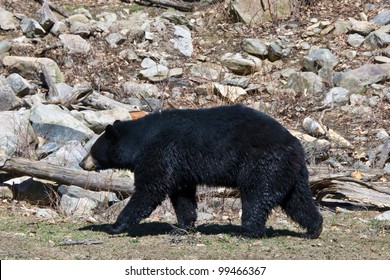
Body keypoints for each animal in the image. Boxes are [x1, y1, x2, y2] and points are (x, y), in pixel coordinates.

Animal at [79, 104, 322, 238]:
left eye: (92, 149)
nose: (81, 163)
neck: (141, 140)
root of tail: (296, 145)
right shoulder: (179, 165)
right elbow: (182, 194)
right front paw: (183, 226)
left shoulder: (160, 151)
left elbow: (150, 189)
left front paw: (115, 226)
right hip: (290, 171)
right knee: (297, 199)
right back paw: (314, 229)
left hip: (264, 163)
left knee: (257, 196)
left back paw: (246, 232)